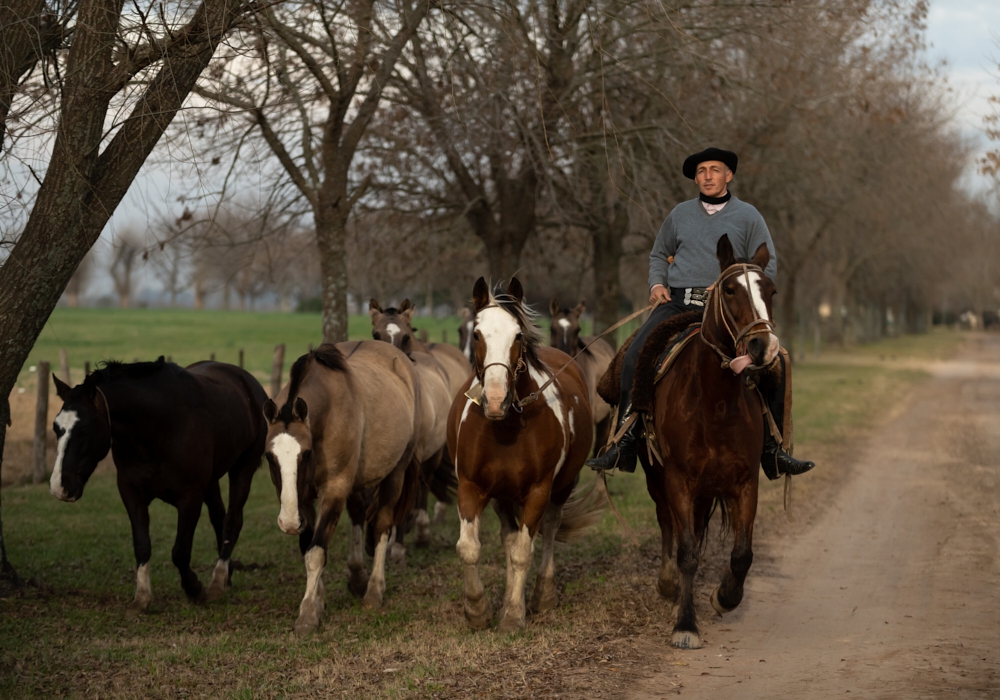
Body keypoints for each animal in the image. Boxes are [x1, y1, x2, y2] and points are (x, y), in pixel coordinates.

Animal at [49, 358, 270, 616]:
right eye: (56, 428)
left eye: (84, 429)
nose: (59, 486)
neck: (160, 426)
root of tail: (249, 382)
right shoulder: (131, 492)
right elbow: (142, 545)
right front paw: (142, 598)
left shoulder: (190, 496)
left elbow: (180, 551)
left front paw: (194, 588)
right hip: (212, 480)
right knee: (219, 517)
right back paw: (227, 576)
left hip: (242, 468)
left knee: (232, 520)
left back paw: (217, 582)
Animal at [264, 340, 420, 636]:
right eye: (269, 456)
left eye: (306, 454)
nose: (288, 522)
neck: (327, 412)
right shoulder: (303, 500)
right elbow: (308, 546)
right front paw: (317, 602)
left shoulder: (333, 490)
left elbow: (316, 552)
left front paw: (308, 614)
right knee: (358, 514)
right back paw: (357, 577)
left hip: (396, 473)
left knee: (382, 525)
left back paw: (374, 590)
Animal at [448, 278, 600, 636]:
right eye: (476, 333)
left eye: (518, 335)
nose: (495, 400)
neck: (505, 428)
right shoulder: (471, 487)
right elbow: (469, 548)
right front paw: (477, 610)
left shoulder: (538, 491)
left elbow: (522, 552)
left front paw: (513, 615)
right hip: (503, 495)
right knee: (508, 536)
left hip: (562, 486)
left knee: (549, 529)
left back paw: (544, 594)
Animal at [648, 237, 780, 652]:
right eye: (731, 289)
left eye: (771, 291)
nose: (762, 345)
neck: (715, 401)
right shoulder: (677, 480)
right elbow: (688, 552)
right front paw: (686, 625)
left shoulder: (745, 482)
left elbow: (742, 554)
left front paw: (725, 597)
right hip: (658, 480)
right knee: (667, 525)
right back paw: (669, 585)